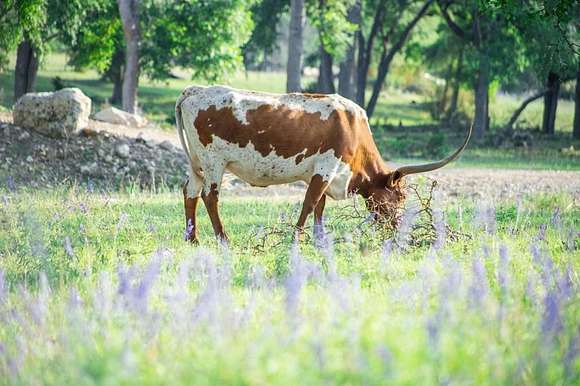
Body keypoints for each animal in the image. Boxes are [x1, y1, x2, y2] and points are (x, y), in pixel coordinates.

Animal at [174, 86, 468, 243]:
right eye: (400, 196)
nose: (397, 227)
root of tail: (195, 90)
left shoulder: (320, 174)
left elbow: (319, 207)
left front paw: (319, 239)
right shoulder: (327, 168)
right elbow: (310, 203)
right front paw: (297, 238)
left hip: (196, 163)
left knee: (190, 193)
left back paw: (192, 238)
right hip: (214, 161)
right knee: (209, 196)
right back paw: (223, 238)